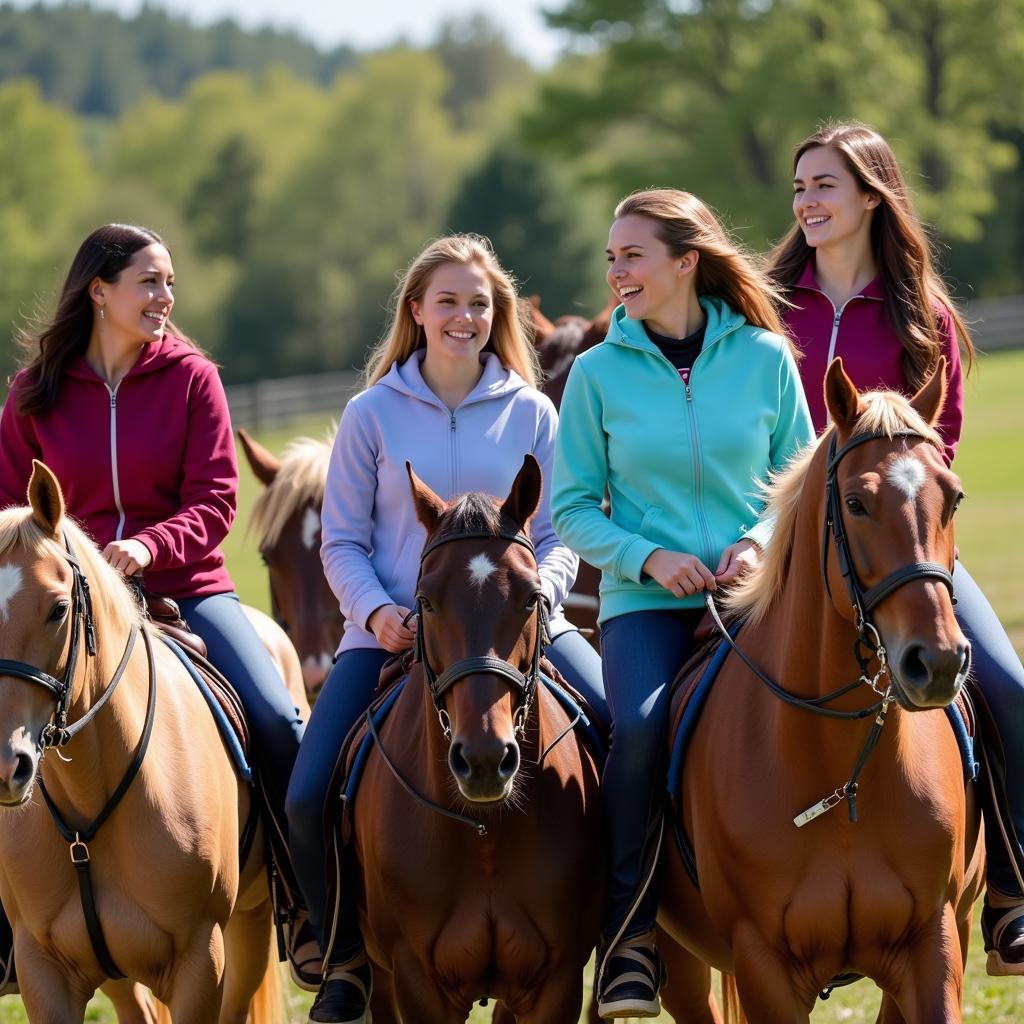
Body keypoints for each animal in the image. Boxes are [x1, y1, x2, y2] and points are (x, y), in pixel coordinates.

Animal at [655, 356, 983, 1019]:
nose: (936, 662)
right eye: (856, 503)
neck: (842, 773)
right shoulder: (763, 966)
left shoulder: (934, 944)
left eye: (954, 496)